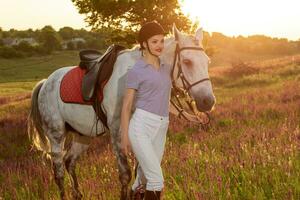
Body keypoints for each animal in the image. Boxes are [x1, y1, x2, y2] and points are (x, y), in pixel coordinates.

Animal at [27, 24, 216, 199]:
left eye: (207, 61)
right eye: (187, 62)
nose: (208, 102)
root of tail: (45, 82)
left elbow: (141, 172)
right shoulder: (118, 131)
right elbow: (125, 174)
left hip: (83, 135)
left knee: (69, 161)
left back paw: (78, 194)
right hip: (56, 135)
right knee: (58, 171)